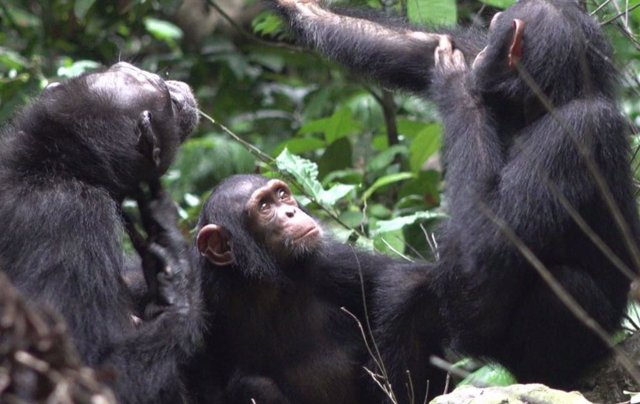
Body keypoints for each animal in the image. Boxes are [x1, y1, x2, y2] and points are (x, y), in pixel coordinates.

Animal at [0, 61, 202, 402]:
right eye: (167, 99)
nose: (177, 86)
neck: (49, 164)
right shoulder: (74, 218)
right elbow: (84, 371)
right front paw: (175, 272)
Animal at [185, 175, 440, 404]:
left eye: (281, 194)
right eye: (264, 207)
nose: (291, 212)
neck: (257, 281)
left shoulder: (330, 260)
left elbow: (405, 282)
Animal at [268, 0, 640, 400]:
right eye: (490, 32)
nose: (484, 54)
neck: (540, 104)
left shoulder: (575, 130)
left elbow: (489, 237)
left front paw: (455, 84)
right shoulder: (479, 63)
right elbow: (406, 46)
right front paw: (298, 7)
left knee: (567, 284)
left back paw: (551, 379)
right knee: (413, 295)